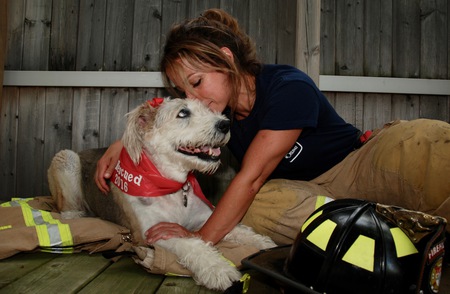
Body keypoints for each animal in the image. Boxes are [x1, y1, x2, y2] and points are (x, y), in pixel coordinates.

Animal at [47, 97, 276, 290]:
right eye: (183, 113)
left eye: (208, 108)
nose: (225, 125)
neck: (174, 187)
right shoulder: (154, 232)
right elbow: (191, 244)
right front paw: (217, 269)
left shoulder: (205, 219)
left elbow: (235, 229)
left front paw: (263, 244)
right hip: (66, 158)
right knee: (67, 209)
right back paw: (78, 214)